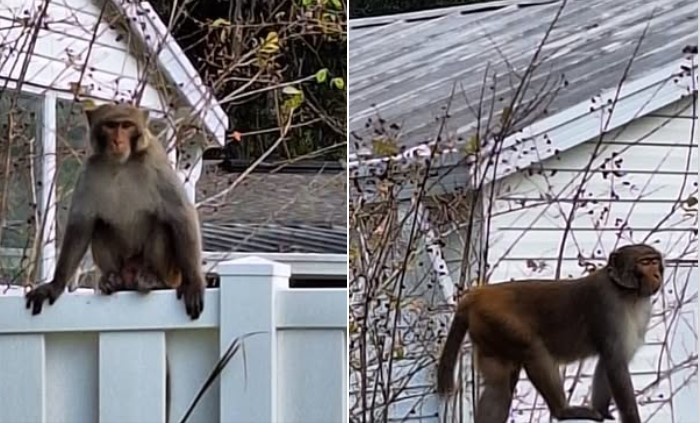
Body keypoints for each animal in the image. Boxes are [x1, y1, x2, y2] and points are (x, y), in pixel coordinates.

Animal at [26, 102, 206, 320]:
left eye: (126, 126)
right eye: (111, 126)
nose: (118, 141)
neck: (121, 163)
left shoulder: (155, 162)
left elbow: (181, 215)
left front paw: (194, 282)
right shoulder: (90, 169)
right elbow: (81, 224)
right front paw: (55, 284)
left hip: (170, 273)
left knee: (161, 225)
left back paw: (153, 278)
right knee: (99, 226)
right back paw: (112, 280)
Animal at [434, 243, 664, 423]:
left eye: (654, 261)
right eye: (645, 262)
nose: (657, 274)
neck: (626, 292)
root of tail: (477, 295)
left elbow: (611, 361)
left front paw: (603, 410)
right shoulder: (607, 302)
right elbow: (615, 362)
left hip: (487, 330)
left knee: (498, 387)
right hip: (496, 318)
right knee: (532, 349)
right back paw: (563, 411)